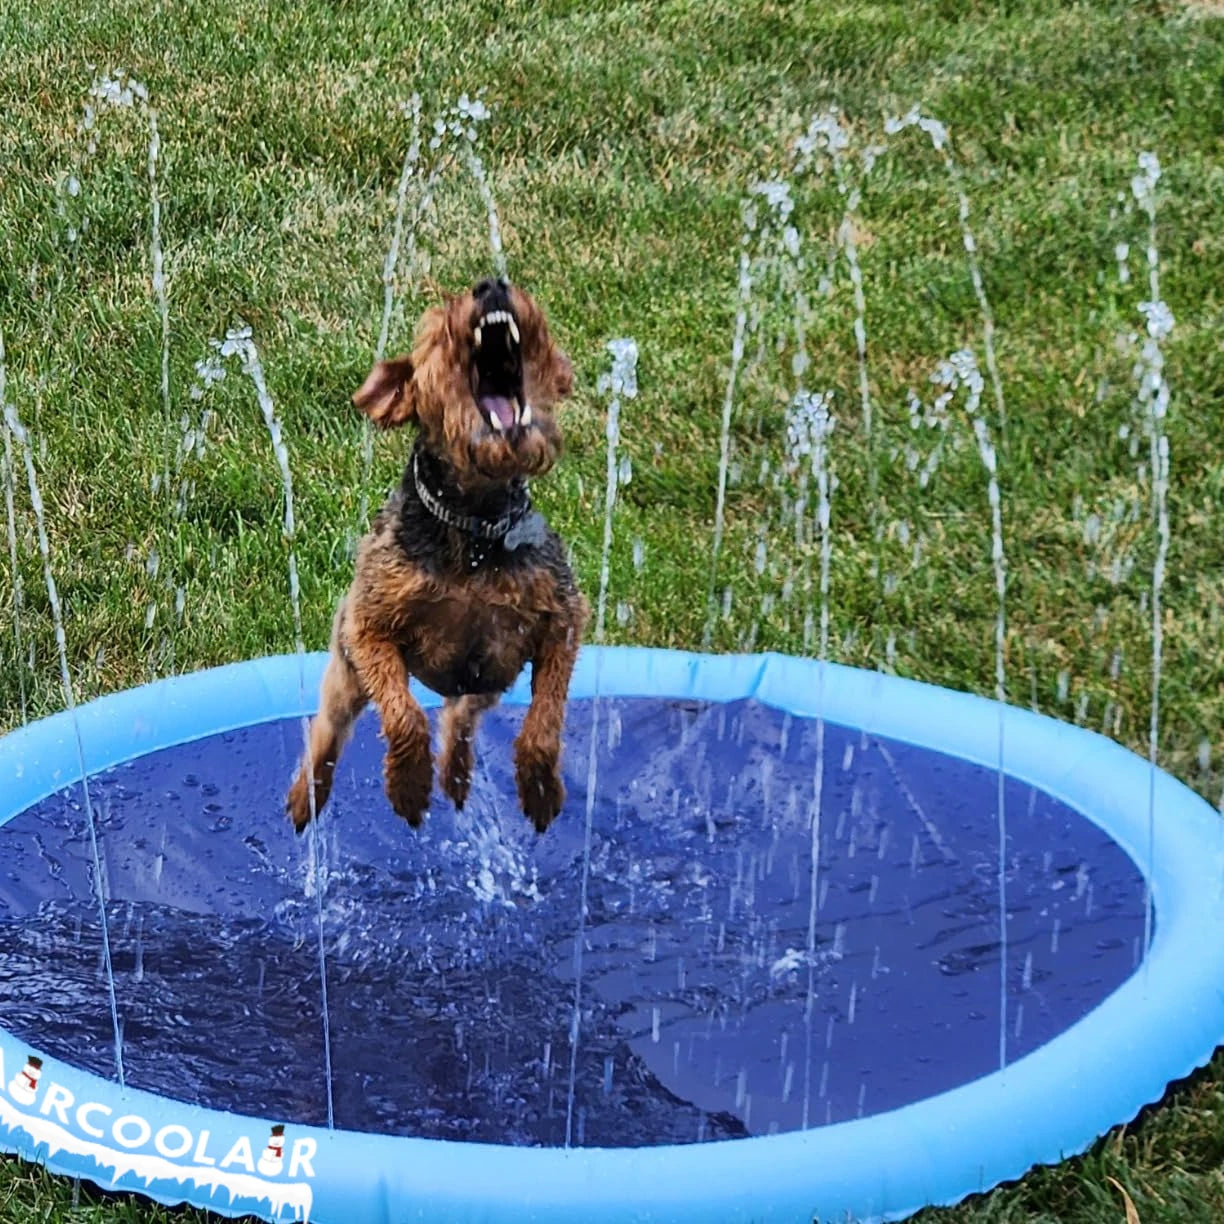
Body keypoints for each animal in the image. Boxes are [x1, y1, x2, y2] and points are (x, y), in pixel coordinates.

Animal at [288, 277, 589, 832]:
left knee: (460, 716)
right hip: (346, 670)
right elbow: (404, 715)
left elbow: (546, 716)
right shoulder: (369, 627)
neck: (473, 527)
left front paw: (539, 788)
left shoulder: (562, 617)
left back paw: (455, 775)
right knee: (328, 729)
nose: (493, 284)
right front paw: (408, 789)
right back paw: (305, 797)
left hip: (490, 674)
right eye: (434, 325)